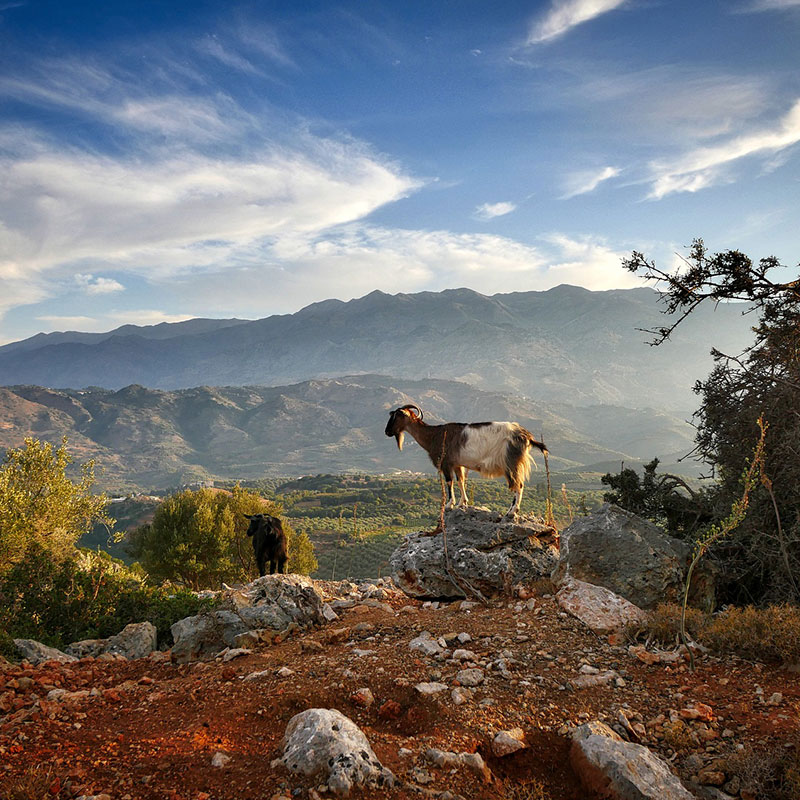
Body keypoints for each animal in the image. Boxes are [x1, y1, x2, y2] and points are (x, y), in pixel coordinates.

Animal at [382, 406, 548, 520]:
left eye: (397, 417)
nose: (387, 432)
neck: (434, 435)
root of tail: (526, 436)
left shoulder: (446, 463)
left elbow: (449, 482)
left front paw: (449, 505)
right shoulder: (457, 464)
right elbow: (460, 481)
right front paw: (463, 503)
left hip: (511, 461)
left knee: (518, 485)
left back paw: (512, 512)